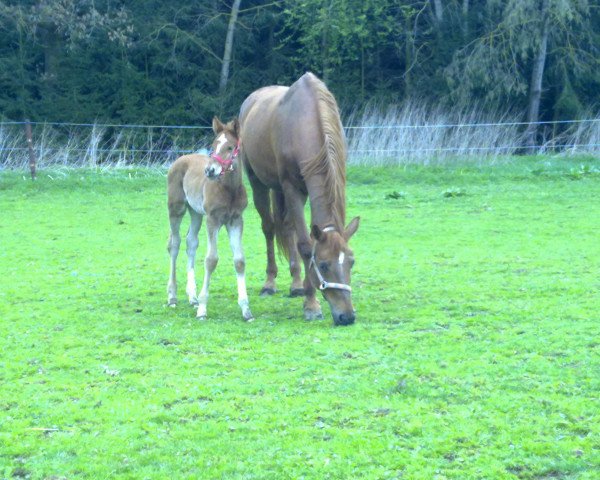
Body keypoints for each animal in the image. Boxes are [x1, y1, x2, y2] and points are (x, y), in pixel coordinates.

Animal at [166, 116, 253, 322]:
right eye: (214, 145)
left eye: (230, 147)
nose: (210, 171)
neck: (229, 190)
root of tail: (180, 159)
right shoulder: (213, 220)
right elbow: (211, 259)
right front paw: (203, 309)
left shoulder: (236, 220)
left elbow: (239, 260)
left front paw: (246, 310)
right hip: (176, 208)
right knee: (174, 244)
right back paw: (173, 297)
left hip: (196, 212)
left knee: (191, 242)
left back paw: (192, 297)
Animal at [239, 72, 360, 326]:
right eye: (323, 264)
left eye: (351, 261)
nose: (347, 316)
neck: (306, 123)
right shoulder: (292, 188)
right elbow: (305, 245)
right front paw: (311, 305)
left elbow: (299, 237)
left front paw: (304, 290)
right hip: (260, 183)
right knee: (269, 228)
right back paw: (270, 283)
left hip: (280, 190)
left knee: (286, 228)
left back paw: (296, 285)